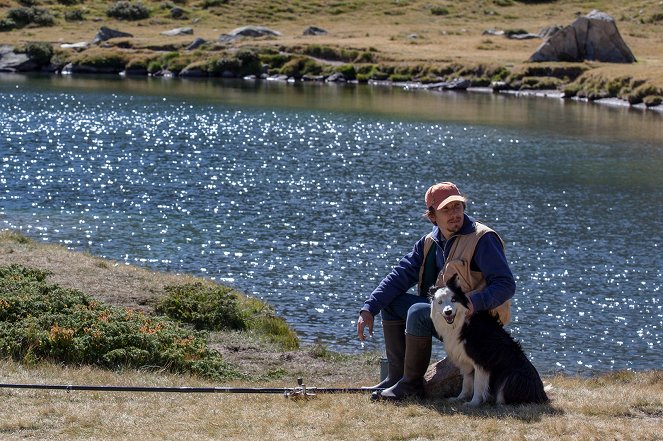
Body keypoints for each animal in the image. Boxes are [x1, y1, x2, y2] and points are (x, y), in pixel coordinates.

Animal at [430, 276, 548, 406]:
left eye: (453, 299)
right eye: (440, 302)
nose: (448, 312)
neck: (461, 323)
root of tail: (542, 395)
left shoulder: (482, 361)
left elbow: (478, 384)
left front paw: (473, 403)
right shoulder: (465, 361)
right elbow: (467, 382)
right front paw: (460, 398)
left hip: (511, 377)